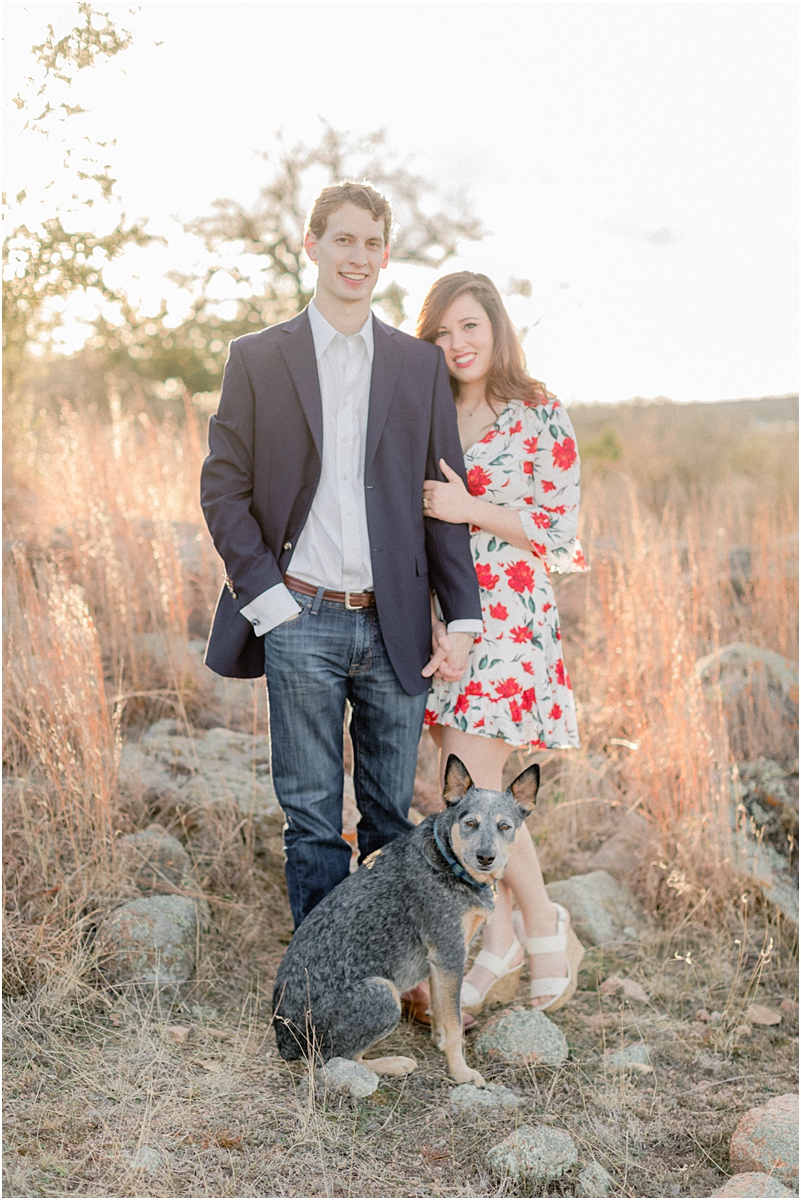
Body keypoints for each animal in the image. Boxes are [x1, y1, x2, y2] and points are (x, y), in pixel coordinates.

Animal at [272, 758, 541, 1089]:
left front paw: (440, 1042)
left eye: (505, 826)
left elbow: (442, 1011)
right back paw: (394, 1063)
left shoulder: (440, 962)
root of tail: (282, 1036)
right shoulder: (450, 954)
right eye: (470, 824)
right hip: (384, 993)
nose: (486, 857)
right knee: (335, 1057)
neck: (446, 859)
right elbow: (455, 1024)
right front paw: (460, 1071)